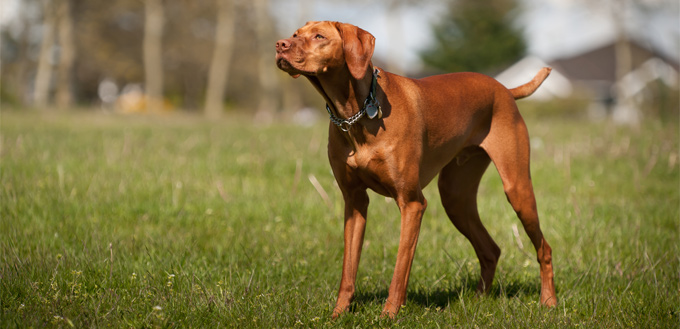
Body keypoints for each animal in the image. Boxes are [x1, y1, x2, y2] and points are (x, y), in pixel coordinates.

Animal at [276, 21, 556, 318]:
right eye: (295, 35)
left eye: (319, 36)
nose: (280, 45)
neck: (356, 113)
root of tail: (504, 89)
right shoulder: (354, 203)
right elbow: (348, 270)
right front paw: (337, 315)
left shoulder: (411, 203)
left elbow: (400, 269)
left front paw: (388, 315)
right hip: (456, 199)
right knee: (490, 250)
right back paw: (479, 300)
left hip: (517, 188)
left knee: (544, 249)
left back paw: (548, 301)